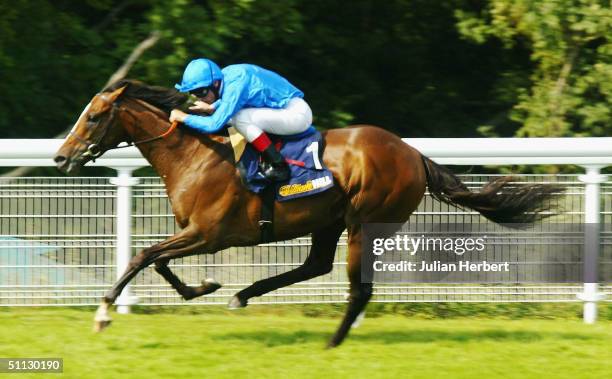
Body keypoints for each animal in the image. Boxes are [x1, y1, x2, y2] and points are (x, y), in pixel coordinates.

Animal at [55, 79, 560, 348]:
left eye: (94, 117)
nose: (60, 158)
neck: (196, 154)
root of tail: (414, 154)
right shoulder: (198, 234)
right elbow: (158, 262)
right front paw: (206, 287)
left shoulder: (209, 234)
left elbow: (143, 256)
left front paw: (103, 312)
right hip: (329, 221)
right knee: (315, 265)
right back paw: (244, 295)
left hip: (364, 223)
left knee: (358, 288)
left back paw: (332, 340)